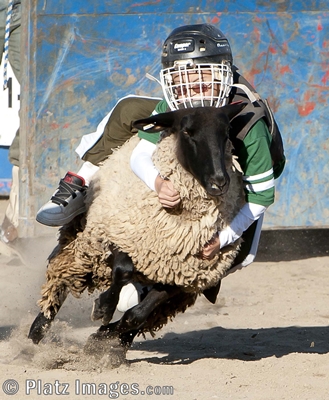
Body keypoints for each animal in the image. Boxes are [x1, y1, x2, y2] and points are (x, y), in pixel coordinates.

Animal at [28, 102, 246, 360]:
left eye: (226, 134)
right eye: (187, 132)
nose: (219, 182)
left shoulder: (179, 276)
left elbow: (137, 316)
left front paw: (101, 337)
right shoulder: (120, 236)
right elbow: (123, 270)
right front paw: (102, 308)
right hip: (87, 239)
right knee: (63, 276)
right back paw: (35, 334)